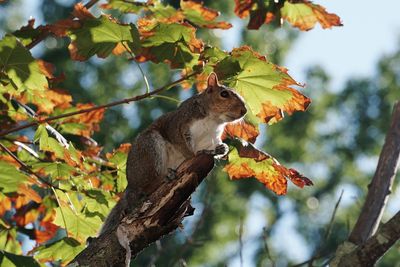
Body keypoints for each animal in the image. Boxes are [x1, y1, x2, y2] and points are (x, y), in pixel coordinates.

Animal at [100, 73, 247, 234]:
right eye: (224, 94)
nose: (244, 111)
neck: (214, 119)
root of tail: (130, 186)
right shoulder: (178, 125)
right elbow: (183, 145)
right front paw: (193, 155)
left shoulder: (211, 139)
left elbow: (212, 148)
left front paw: (222, 149)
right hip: (150, 149)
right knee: (146, 187)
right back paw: (165, 177)